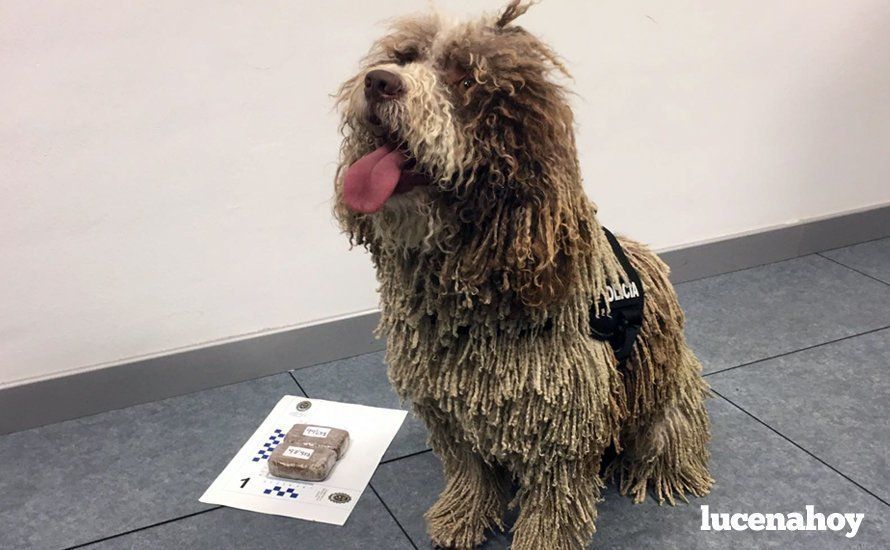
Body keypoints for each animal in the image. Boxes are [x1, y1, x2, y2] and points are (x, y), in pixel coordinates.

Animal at [334, 2, 716, 548]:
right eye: (403, 57)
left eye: (465, 79)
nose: (379, 81)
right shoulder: (447, 404)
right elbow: (469, 469)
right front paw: (462, 517)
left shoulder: (563, 416)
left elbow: (554, 497)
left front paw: (542, 539)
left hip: (665, 404)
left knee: (667, 437)